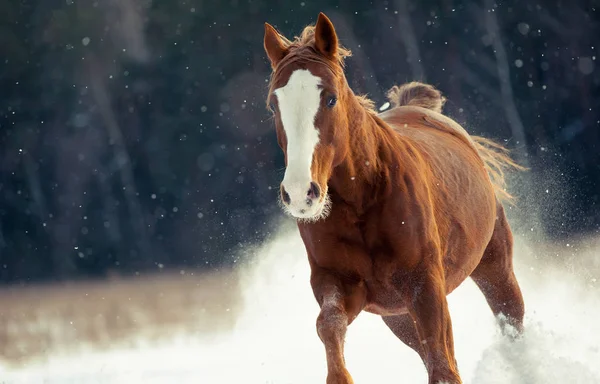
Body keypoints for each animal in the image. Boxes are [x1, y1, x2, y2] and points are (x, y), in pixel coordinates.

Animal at [262, 12, 524, 384]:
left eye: (330, 98)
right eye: (274, 104)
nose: (300, 192)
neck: (363, 201)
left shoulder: (425, 286)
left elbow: (441, 360)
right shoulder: (340, 283)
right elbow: (329, 324)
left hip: (494, 263)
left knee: (509, 319)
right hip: (397, 316)